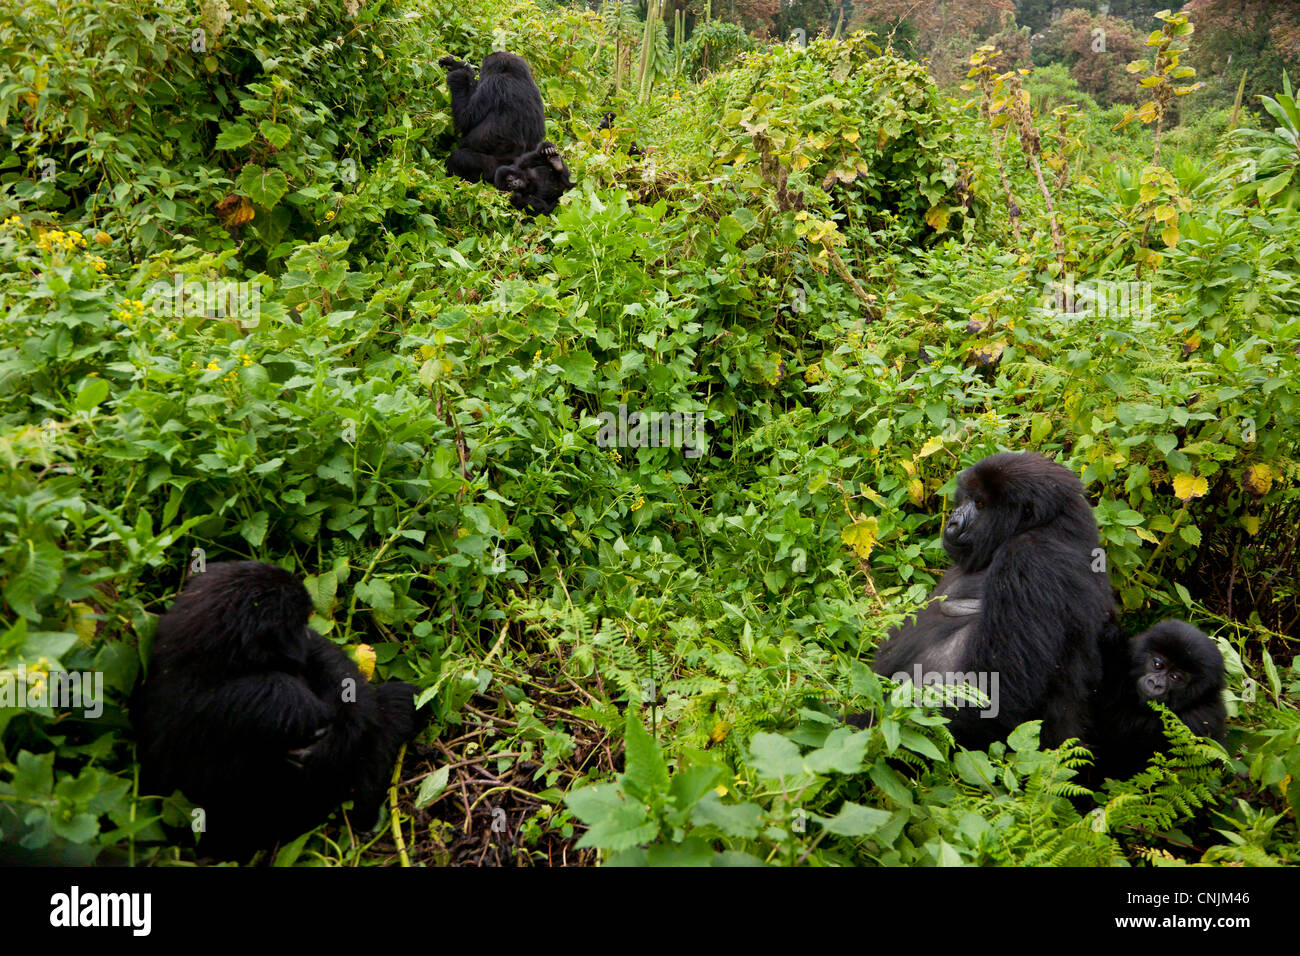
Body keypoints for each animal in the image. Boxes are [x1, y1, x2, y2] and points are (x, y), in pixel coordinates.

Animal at [439, 51, 546, 187]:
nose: (481, 72)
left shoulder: (493, 83)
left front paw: (459, 75)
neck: (515, 75)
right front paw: (459, 65)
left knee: (459, 158)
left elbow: (465, 119)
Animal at [863, 452, 1118, 749]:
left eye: (981, 504)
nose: (953, 521)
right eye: (967, 498)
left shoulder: (1030, 558)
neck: (1052, 525)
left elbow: (995, 691)